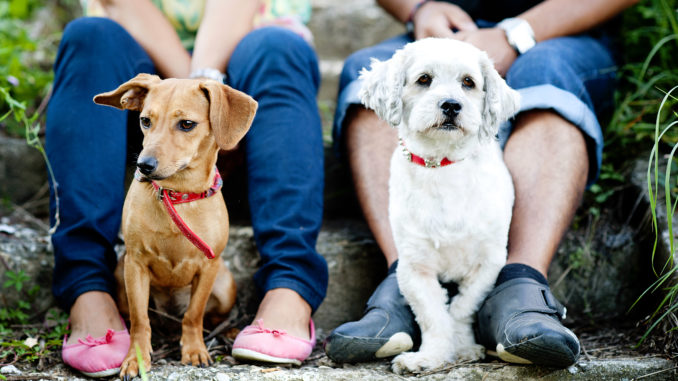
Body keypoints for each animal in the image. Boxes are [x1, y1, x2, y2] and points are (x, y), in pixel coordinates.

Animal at [93, 72, 258, 378]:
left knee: (208, 316)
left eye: (187, 124)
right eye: (145, 120)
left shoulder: (208, 267)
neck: (177, 195)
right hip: (120, 277)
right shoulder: (135, 265)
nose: (144, 165)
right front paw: (136, 358)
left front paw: (194, 350)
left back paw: (228, 330)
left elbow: (194, 315)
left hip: (225, 286)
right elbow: (140, 320)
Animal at [362, 37, 520, 372]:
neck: (443, 166)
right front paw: (429, 356)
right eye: (424, 79)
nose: (451, 104)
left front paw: (462, 348)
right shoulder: (415, 267)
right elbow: (433, 315)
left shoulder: (488, 262)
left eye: (468, 82)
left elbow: (462, 308)